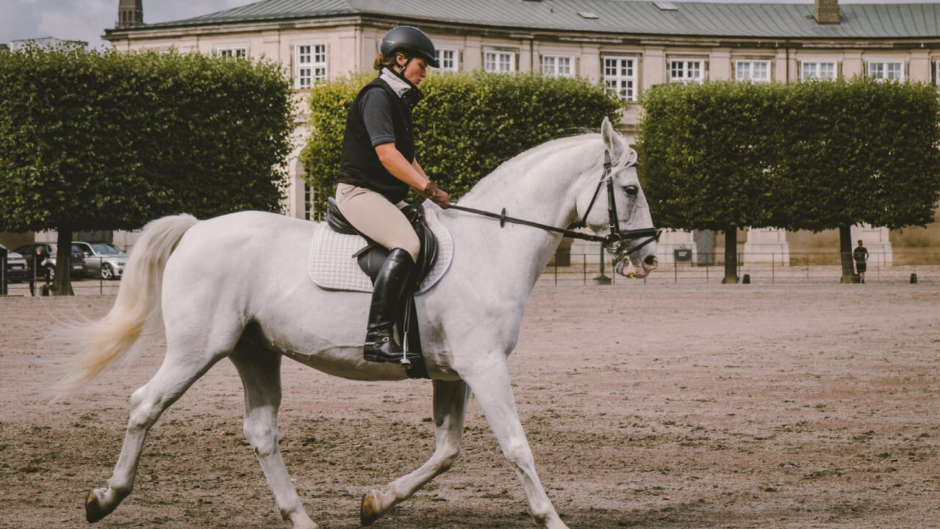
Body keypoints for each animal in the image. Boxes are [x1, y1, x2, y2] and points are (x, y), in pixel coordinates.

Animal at [61, 117, 658, 529]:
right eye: (629, 190)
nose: (650, 258)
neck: (492, 244)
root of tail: (196, 227)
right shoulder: (484, 365)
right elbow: (516, 445)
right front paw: (551, 518)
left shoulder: (454, 373)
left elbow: (447, 451)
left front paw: (375, 503)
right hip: (196, 349)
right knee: (145, 404)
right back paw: (104, 498)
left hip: (256, 351)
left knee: (261, 432)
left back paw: (300, 517)